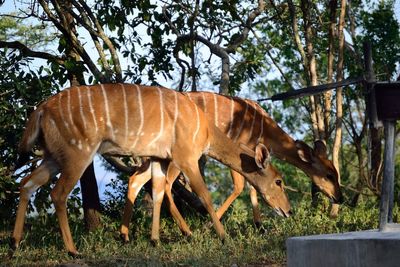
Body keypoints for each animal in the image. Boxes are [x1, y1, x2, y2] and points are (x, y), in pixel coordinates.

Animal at [10, 84, 290, 255]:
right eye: (278, 180)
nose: (287, 211)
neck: (206, 131)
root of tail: (41, 110)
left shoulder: (160, 158)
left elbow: (156, 192)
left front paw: (154, 240)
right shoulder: (186, 157)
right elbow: (204, 195)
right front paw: (223, 236)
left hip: (53, 157)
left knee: (27, 183)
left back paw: (14, 243)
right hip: (77, 154)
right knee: (57, 193)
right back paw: (72, 250)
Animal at [120, 91, 342, 243]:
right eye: (329, 175)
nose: (340, 198)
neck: (264, 127)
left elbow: (251, 186)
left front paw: (260, 226)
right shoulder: (242, 150)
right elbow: (241, 186)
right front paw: (210, 227)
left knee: (136, 178)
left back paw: (125, 235)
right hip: (178, 158)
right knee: (164, 184)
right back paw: (185, 232)